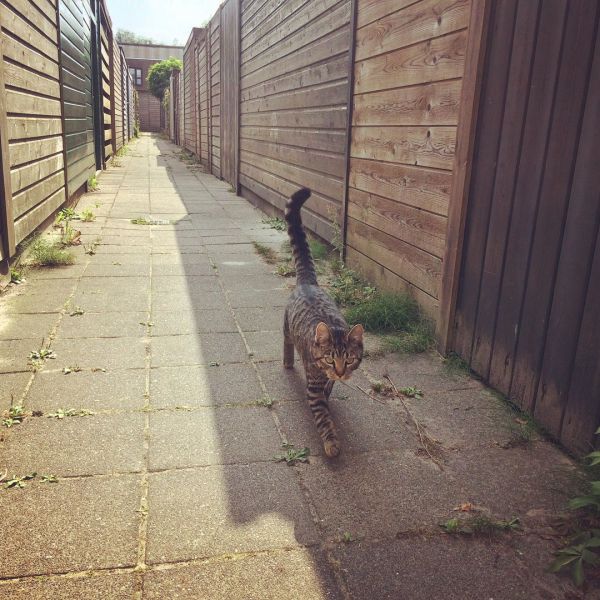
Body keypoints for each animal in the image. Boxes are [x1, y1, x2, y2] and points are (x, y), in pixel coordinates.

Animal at [284, 190, 364, 458]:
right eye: (330, 359)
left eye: (348, 360)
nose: (339, 372)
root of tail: (308, 281)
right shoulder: (314, 387)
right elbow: (323, 418)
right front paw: (331, 443)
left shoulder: (328, 381)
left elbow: (329, 391)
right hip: (286, 326)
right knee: (286, 343)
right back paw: (288, 362)